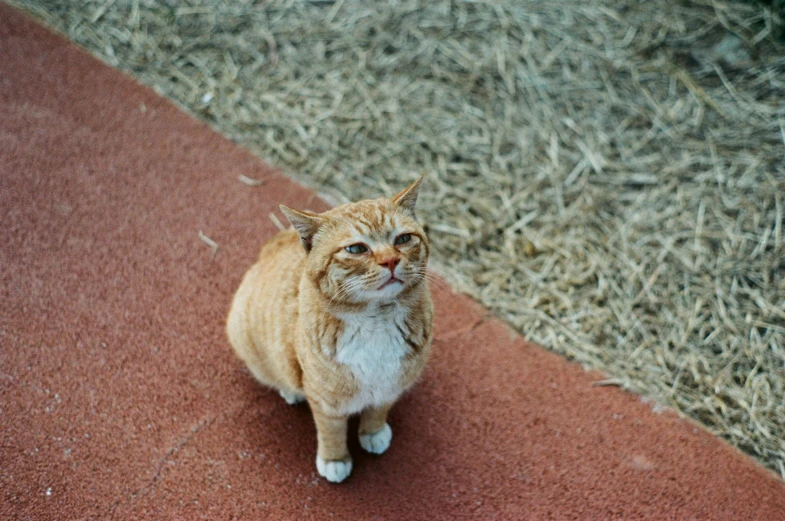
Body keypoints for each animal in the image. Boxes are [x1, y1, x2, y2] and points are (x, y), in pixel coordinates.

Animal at [225, 176, 434, 484]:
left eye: (403, 239)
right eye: (357, 249)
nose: (390, 261)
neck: (377, 319)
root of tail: (277, 241)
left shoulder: (391, 385)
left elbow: (378, 410)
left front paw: (373, 431)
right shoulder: (325, 401)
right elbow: (331, 431)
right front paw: (335, 460)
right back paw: (290, 391)